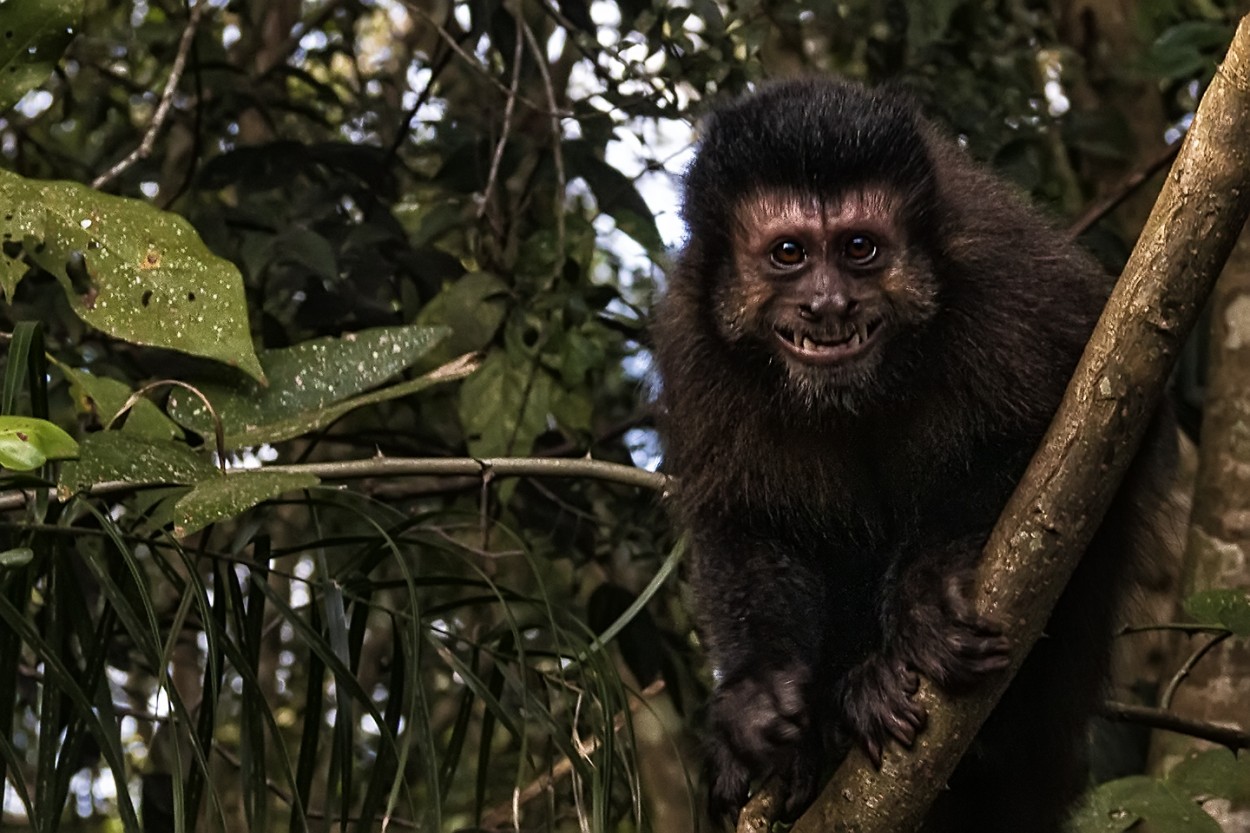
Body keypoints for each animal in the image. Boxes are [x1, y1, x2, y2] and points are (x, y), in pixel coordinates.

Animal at [650, 76, 1175, 825]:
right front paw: (759, 691)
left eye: (859, 247)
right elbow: (746, 520)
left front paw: (928, 585)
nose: (828, 305)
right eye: (789, 254)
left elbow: (1092, 431)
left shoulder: (1005, 276)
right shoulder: (693, 347)